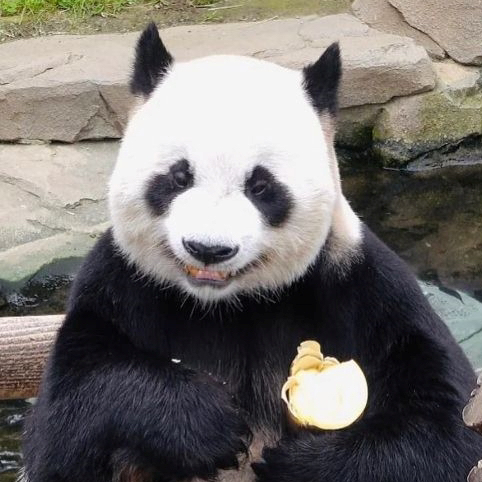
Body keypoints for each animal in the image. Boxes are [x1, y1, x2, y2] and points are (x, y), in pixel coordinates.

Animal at [22, 22, 482, 482]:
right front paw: (208, 426)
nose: (208, 249)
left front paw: (296, 461)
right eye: (179, 176)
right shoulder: (122, 282)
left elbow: (445, 419)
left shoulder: (359, 283)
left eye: (260, 186)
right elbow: (71, 410)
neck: (227, 306)